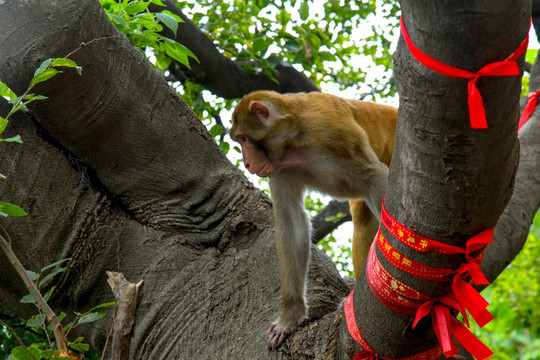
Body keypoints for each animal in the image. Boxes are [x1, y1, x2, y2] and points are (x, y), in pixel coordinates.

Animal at [230, 90, 398, 352]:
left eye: (243, 139)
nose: (247, 163)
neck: (294, 136)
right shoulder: (280, 168)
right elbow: (291, 219)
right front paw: (291, 314)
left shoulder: (333, 131)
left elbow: (374, 175)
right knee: (362, 213)